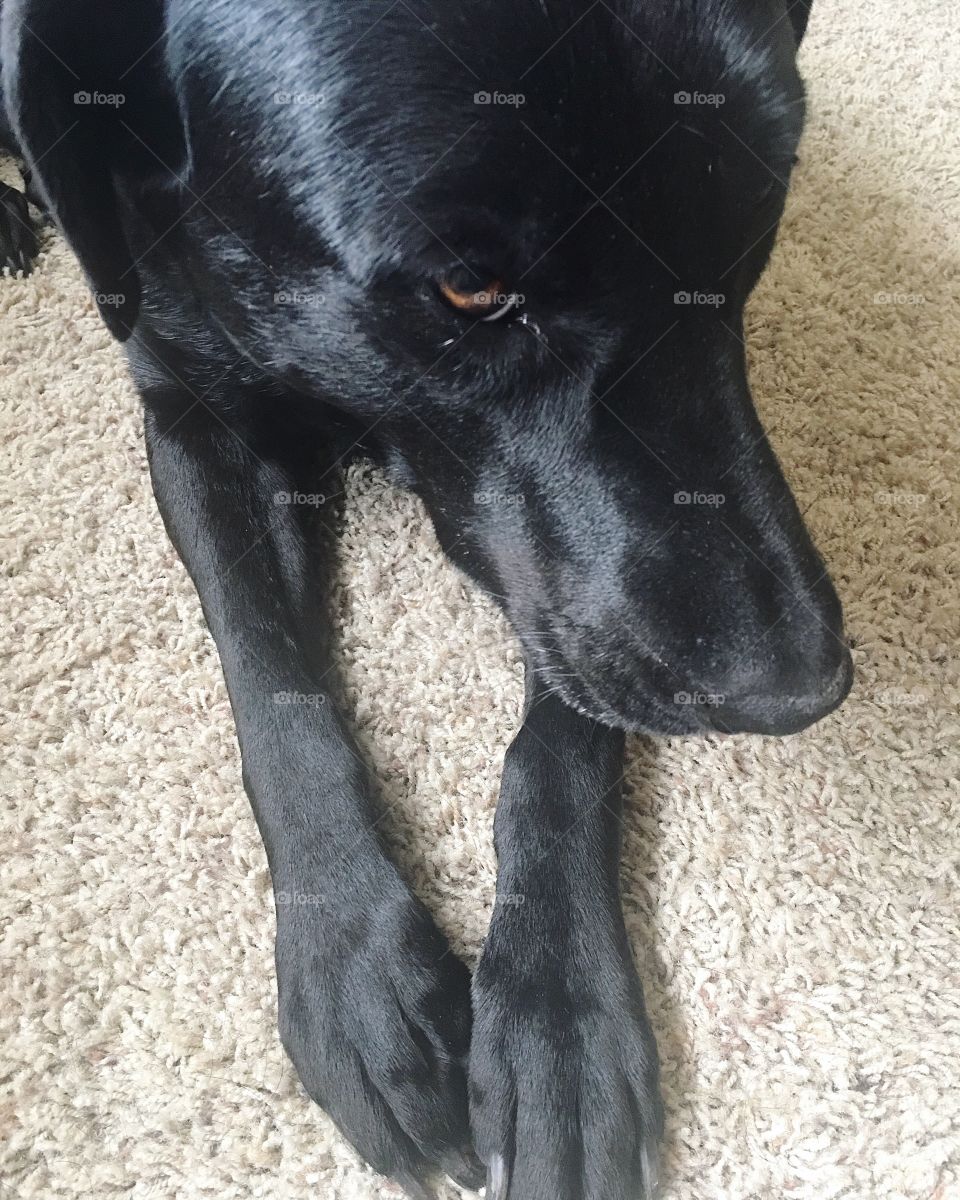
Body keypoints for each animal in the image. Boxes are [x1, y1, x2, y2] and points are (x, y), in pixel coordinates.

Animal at [3, 2, 849, 1200]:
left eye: (757, 217)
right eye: (466, 291)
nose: (799, 688)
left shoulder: (568, 598)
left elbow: (563, 733)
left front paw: (557, 1017)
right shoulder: (188, 415)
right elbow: (279, 692)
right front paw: (356, 971)